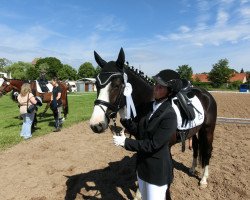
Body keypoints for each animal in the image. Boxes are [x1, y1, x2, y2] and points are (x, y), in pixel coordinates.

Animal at [89, 47, 217, 189]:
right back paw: (193, 169)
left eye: (117, 85)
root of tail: (206, 94)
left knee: (207, 151)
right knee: (195, 147)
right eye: (96, 84)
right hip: (195, 131)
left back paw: (204, 180)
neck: (151, 103)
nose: (96, 124)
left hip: (208, 130)